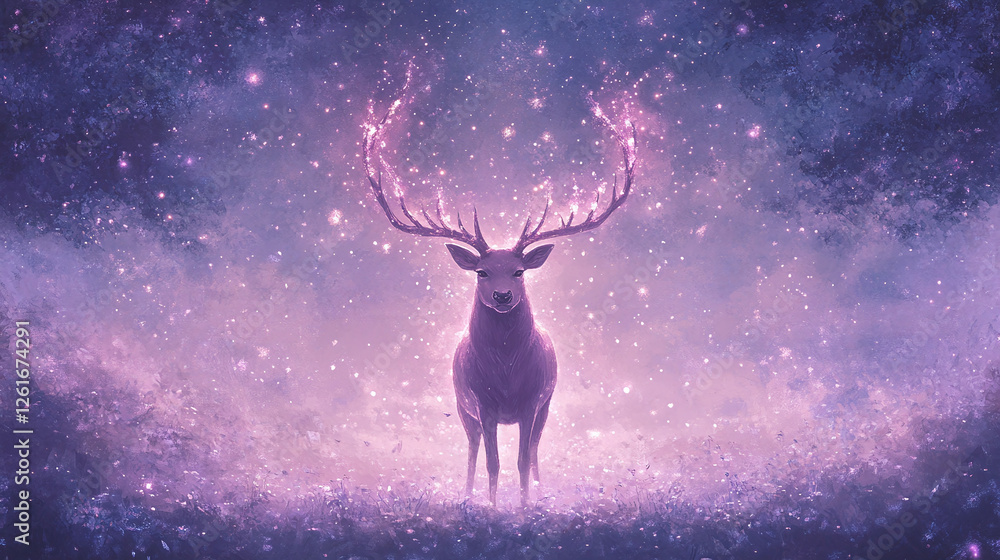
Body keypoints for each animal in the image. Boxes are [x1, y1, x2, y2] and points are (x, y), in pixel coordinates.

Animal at [362, 83, 637, 506]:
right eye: (482, 271)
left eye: (519, 271)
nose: (504, 296)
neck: (506, 374)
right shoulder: (483, 405)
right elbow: (492, 462)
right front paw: (491, 507)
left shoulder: (532, 402)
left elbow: (522, 460)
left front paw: (524, 507)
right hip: (463, 408)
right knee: (472, 449)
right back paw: (468, 494)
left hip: (545, 406)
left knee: (535, 449)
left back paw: (539, 492)